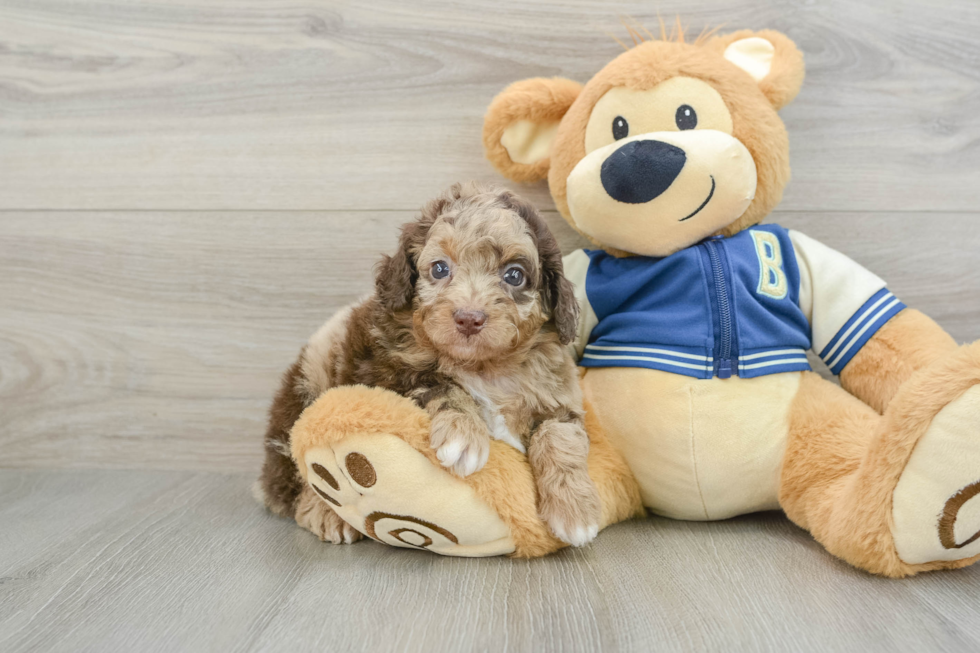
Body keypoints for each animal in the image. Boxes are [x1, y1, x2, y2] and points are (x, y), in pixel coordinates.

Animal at [256, 182, 600, 544]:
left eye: (514, 275)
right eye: (439, 269)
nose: (469, 318)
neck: (485, 367)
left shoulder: (558, 398)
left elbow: (560, 436)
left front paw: (574, 510)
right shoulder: (387, 372)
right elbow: (439, 382)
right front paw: (465, 435)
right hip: (309, 383)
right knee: (296, 472)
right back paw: (324, 513)